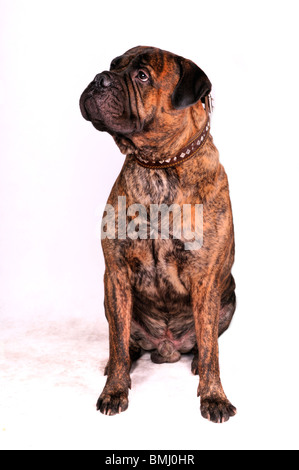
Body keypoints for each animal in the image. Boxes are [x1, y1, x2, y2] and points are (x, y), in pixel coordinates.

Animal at [79, 46, 237, 422]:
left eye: (142, 76)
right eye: (112, 66)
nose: (99, 79)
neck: (159, 166)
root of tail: (166, 347)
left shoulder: (206, 280)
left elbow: (211, 349)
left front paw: (214, 397)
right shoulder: (116, 274)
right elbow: (117, 342)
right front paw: (115, 390)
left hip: (229, 299)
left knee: (207, 343)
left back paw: (194, 362)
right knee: (122, 341)